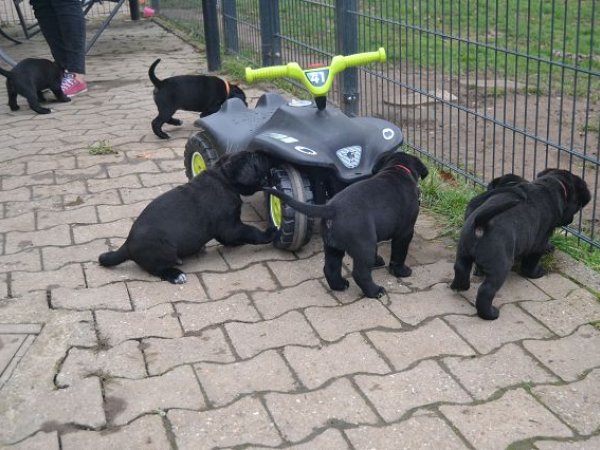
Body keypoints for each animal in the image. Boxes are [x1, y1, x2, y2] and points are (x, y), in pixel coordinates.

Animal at [99, 151, 276, 283]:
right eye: (256, 158)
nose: (266, 154)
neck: (223, 179)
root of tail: (127, 245)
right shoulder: (230, 226)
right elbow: (250, 231)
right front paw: (269, 233)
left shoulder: (227, 229)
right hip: (164, 249)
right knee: (158, 269)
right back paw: (176, 274)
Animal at [264, 152, 428, 298]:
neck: (398, 169)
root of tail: (332, 209)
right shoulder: (405, 232)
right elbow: (399, 254)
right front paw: (401, 271)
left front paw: (378, 261)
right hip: (364, 246)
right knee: (360, 273)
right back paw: (375, 291)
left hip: (333, 246)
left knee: (330, 268)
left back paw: (339, 285)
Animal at [451, 168, 591, 320]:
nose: (570, 220)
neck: (551, 185)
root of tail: (481, 224)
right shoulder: (539, 241)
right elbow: (531, 262)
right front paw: (537, 272)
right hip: (500, 265)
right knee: (486, 290)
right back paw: (490, 313)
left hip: (464, 250)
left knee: (460, 268)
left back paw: (460, 286)